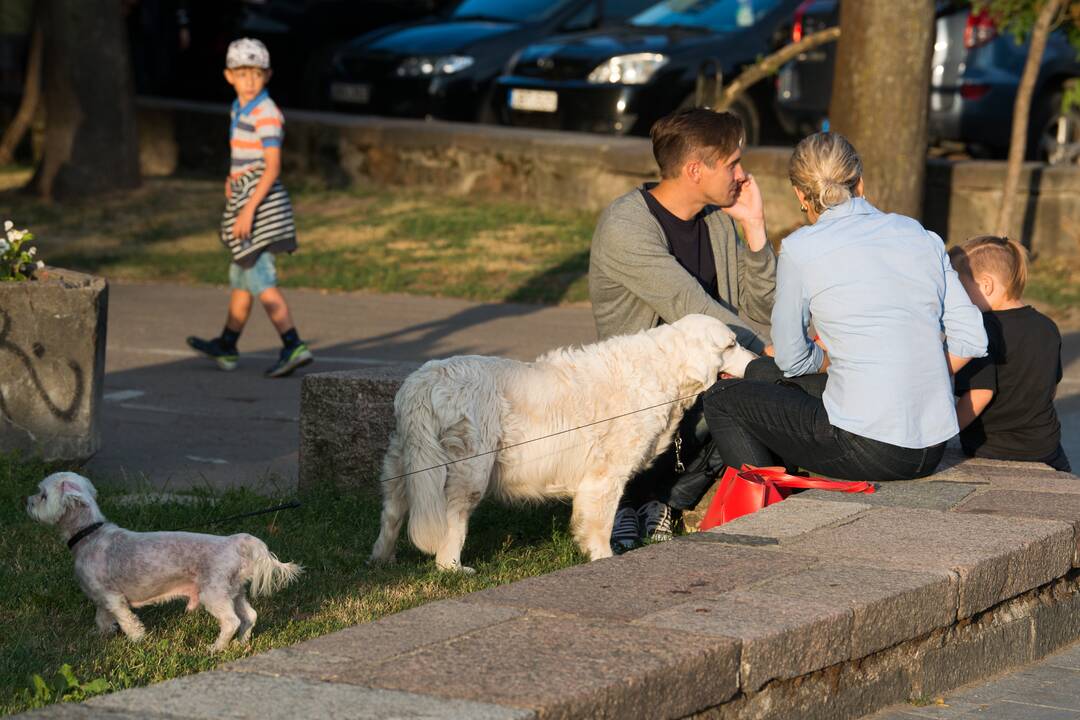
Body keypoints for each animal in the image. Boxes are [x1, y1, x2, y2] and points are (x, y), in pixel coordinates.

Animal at [26, 472, 304, 651]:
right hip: (234, 592)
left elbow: (126, 620)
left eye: (42, 495)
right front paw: (99, 635)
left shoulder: (112, 597)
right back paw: (242, 642)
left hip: (213, 593)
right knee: (250, 616)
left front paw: (137, 640)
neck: (88, 533)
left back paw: (216, 647)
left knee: (231, 621)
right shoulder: (101, 598)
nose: (27, 502)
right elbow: (102, 618)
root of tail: (237, 543)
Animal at [371, 313, 760, 569]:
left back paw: (383, 558)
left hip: (406, 460)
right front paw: (603, 557)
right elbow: (600, 522)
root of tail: (425, 379)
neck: (663, 367)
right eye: (731, 344)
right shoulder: (606, 475)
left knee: (392, 511)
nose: (759, 360)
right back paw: (452, 567)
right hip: (469, 468)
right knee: (452, 518)